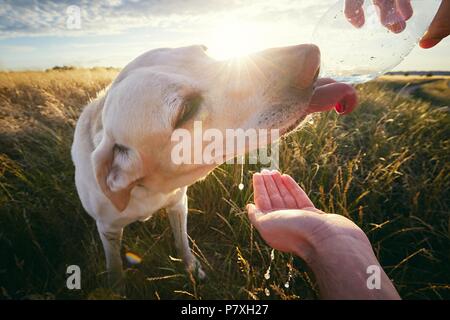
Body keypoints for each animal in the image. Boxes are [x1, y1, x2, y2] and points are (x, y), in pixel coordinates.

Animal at [72, 44, 356, 288]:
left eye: (204, 51)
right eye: (185, 111)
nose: (313, 56)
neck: (147, 188)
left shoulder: (179, 204)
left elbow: (182, 242)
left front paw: (191, 267)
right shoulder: (108, 229)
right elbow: (115, 264)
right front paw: (116, 286)